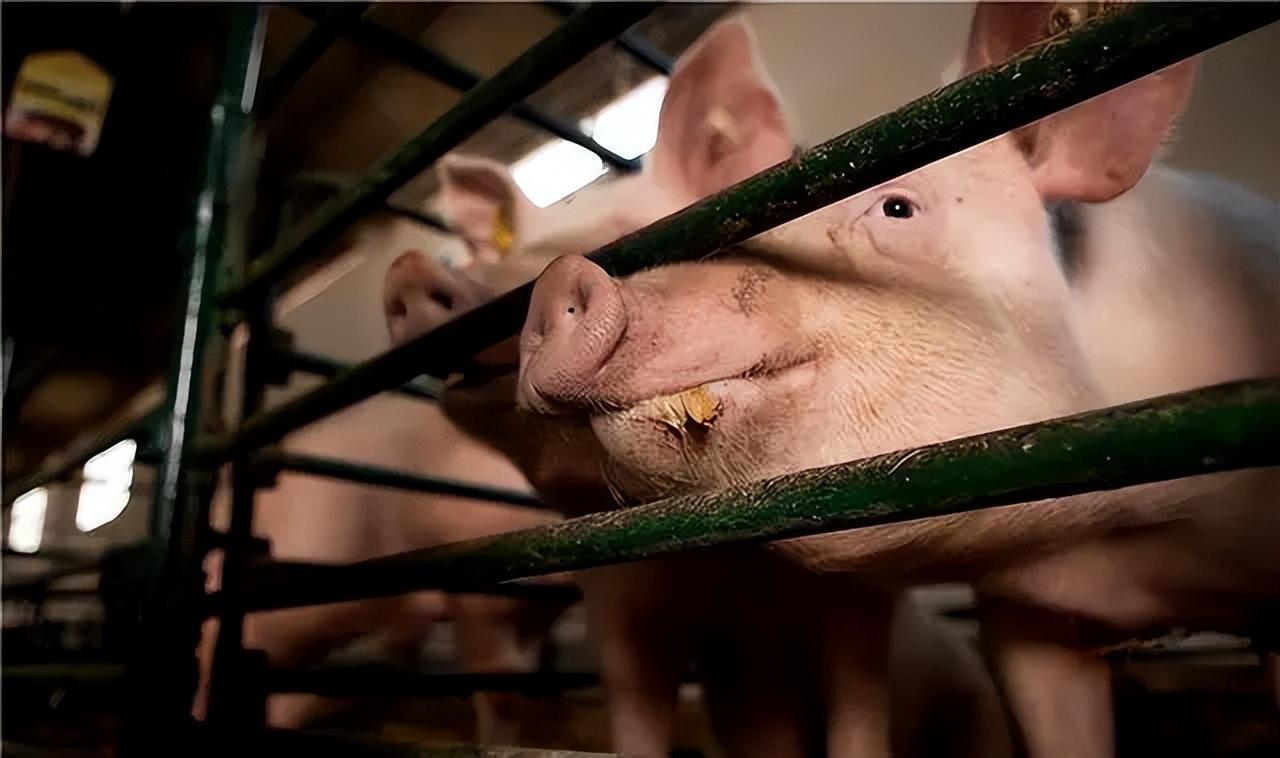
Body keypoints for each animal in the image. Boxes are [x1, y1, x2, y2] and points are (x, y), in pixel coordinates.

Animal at [384, 17, 1013, 758]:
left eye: (635, 239)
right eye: (502, 254)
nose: (411, 268)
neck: (718, 575)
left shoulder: (856, 599)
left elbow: (859, 712)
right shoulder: (627, 610)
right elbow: (638, 717)